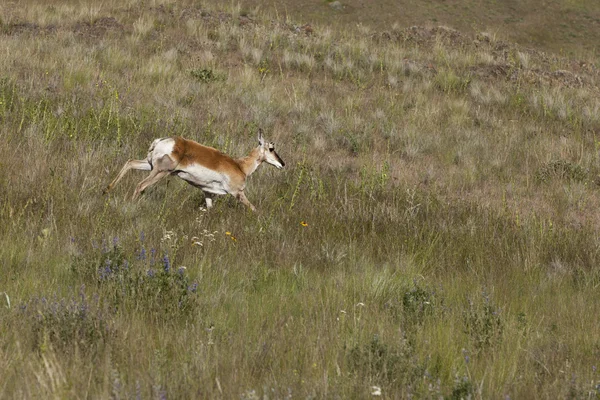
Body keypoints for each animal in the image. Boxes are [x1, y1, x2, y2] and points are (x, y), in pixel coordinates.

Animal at [103, 129, 286, 211]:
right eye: (271, 148)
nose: (282, 163)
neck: (240, 165)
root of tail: (163, 140)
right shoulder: (238, 193)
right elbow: (254, 209)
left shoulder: (208, 192)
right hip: (161, 172)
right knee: (140, 185)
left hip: (149, 165)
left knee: (130, 162)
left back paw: (107, 190)